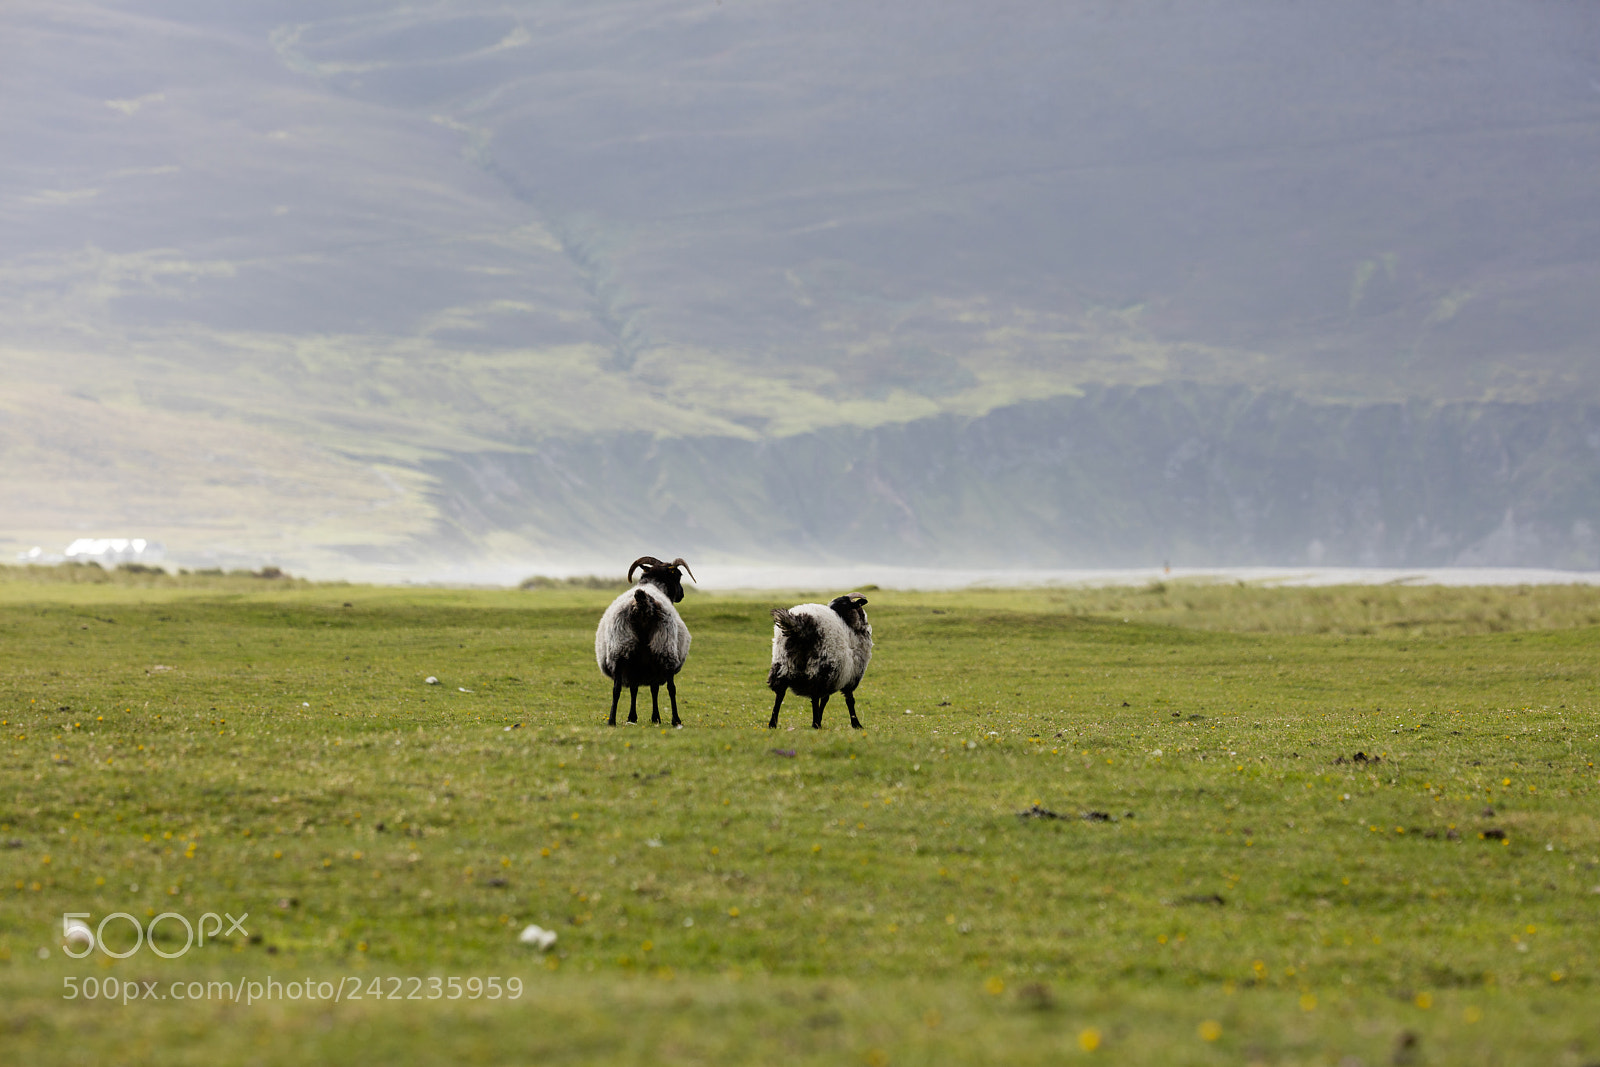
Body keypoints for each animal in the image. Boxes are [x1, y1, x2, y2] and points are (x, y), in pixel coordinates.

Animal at [595, 556, 695, 727]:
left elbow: (634, 689)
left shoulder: (638, 663)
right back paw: (676, 720)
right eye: (679, 575)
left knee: (616, 689)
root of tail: (643, 601)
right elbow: (654, 689)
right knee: (671, 688)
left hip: (620, 647)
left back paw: (612, 720)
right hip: (665, 646)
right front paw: (655, 718)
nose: (682, 594)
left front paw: (633, 717)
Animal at [767, 593, 872, 729]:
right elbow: (848, 700)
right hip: (820, 665)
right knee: (815, 696)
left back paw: (772, 723)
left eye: (844, 604)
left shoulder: (835, 676)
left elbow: (826, 699)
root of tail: (799, 624)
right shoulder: (849, 675)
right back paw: (815, 723)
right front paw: (856, 724)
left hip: (782, 663)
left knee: (780, 694)